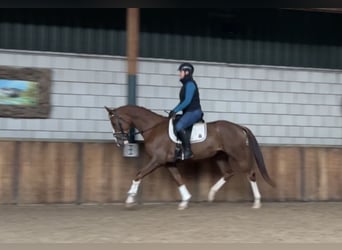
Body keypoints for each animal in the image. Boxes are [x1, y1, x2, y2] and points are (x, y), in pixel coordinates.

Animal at [104, 104, 276, 210]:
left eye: (114, 122)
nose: (120, 142)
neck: (153, 128)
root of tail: (239, 127)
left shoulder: (157, 160)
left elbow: (138, 174)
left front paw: (129, 200)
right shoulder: (168, 163)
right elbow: (178, 179)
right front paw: (185, 200)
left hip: (238, 154)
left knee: (251, 174)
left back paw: (257, 202)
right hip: (220, 156)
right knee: (228, 173)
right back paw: (211, 194)